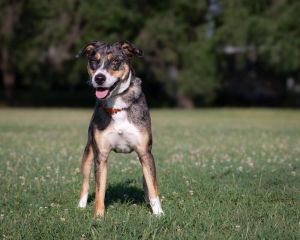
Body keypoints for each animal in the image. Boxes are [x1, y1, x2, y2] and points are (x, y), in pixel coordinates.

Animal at [76, 40, 163, 218]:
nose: (99, 78)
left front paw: (158, 213)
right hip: (88, 152)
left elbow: (152, 186)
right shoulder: (100, 155)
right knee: (86, 181)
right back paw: (81, 205)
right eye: (93, 61)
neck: (118, 104)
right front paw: (98, 216)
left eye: (115, 61)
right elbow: (99, 188)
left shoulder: (145, 152)